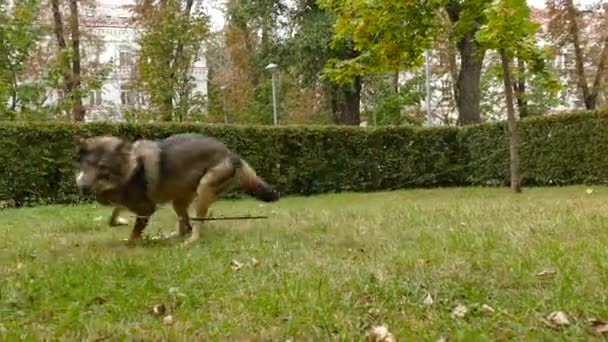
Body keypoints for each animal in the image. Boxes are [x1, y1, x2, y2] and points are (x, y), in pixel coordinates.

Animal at [73, 132, 280, 244]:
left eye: (103, 168)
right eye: (88, 165)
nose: (82, 187)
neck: (129, 168)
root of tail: (232, 154)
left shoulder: (146, 208)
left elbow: (134, 233)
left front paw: (132, 241)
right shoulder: (127, 203)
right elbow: (113, 217)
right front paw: (121, 222)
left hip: (203, 191)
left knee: (195, 227)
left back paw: (189, 241)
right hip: (178, 202)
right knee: (184, 227)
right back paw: (167, 237)